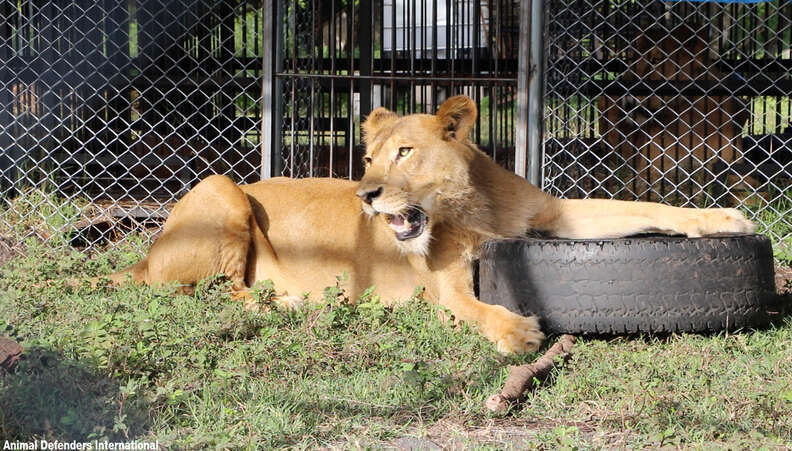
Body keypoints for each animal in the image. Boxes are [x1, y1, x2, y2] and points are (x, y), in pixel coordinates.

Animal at [104, 95, 755, 354]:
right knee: (207, 289)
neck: (471, 207)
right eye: (368, 158)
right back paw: (290, 302)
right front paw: (517, 332)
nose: (365, 195)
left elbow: (636, 207)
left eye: (405, 153)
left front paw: (719, 216)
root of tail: (141, 256)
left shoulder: (551, 215)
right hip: (220, 190)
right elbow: (480, 310)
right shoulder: (444, 289)